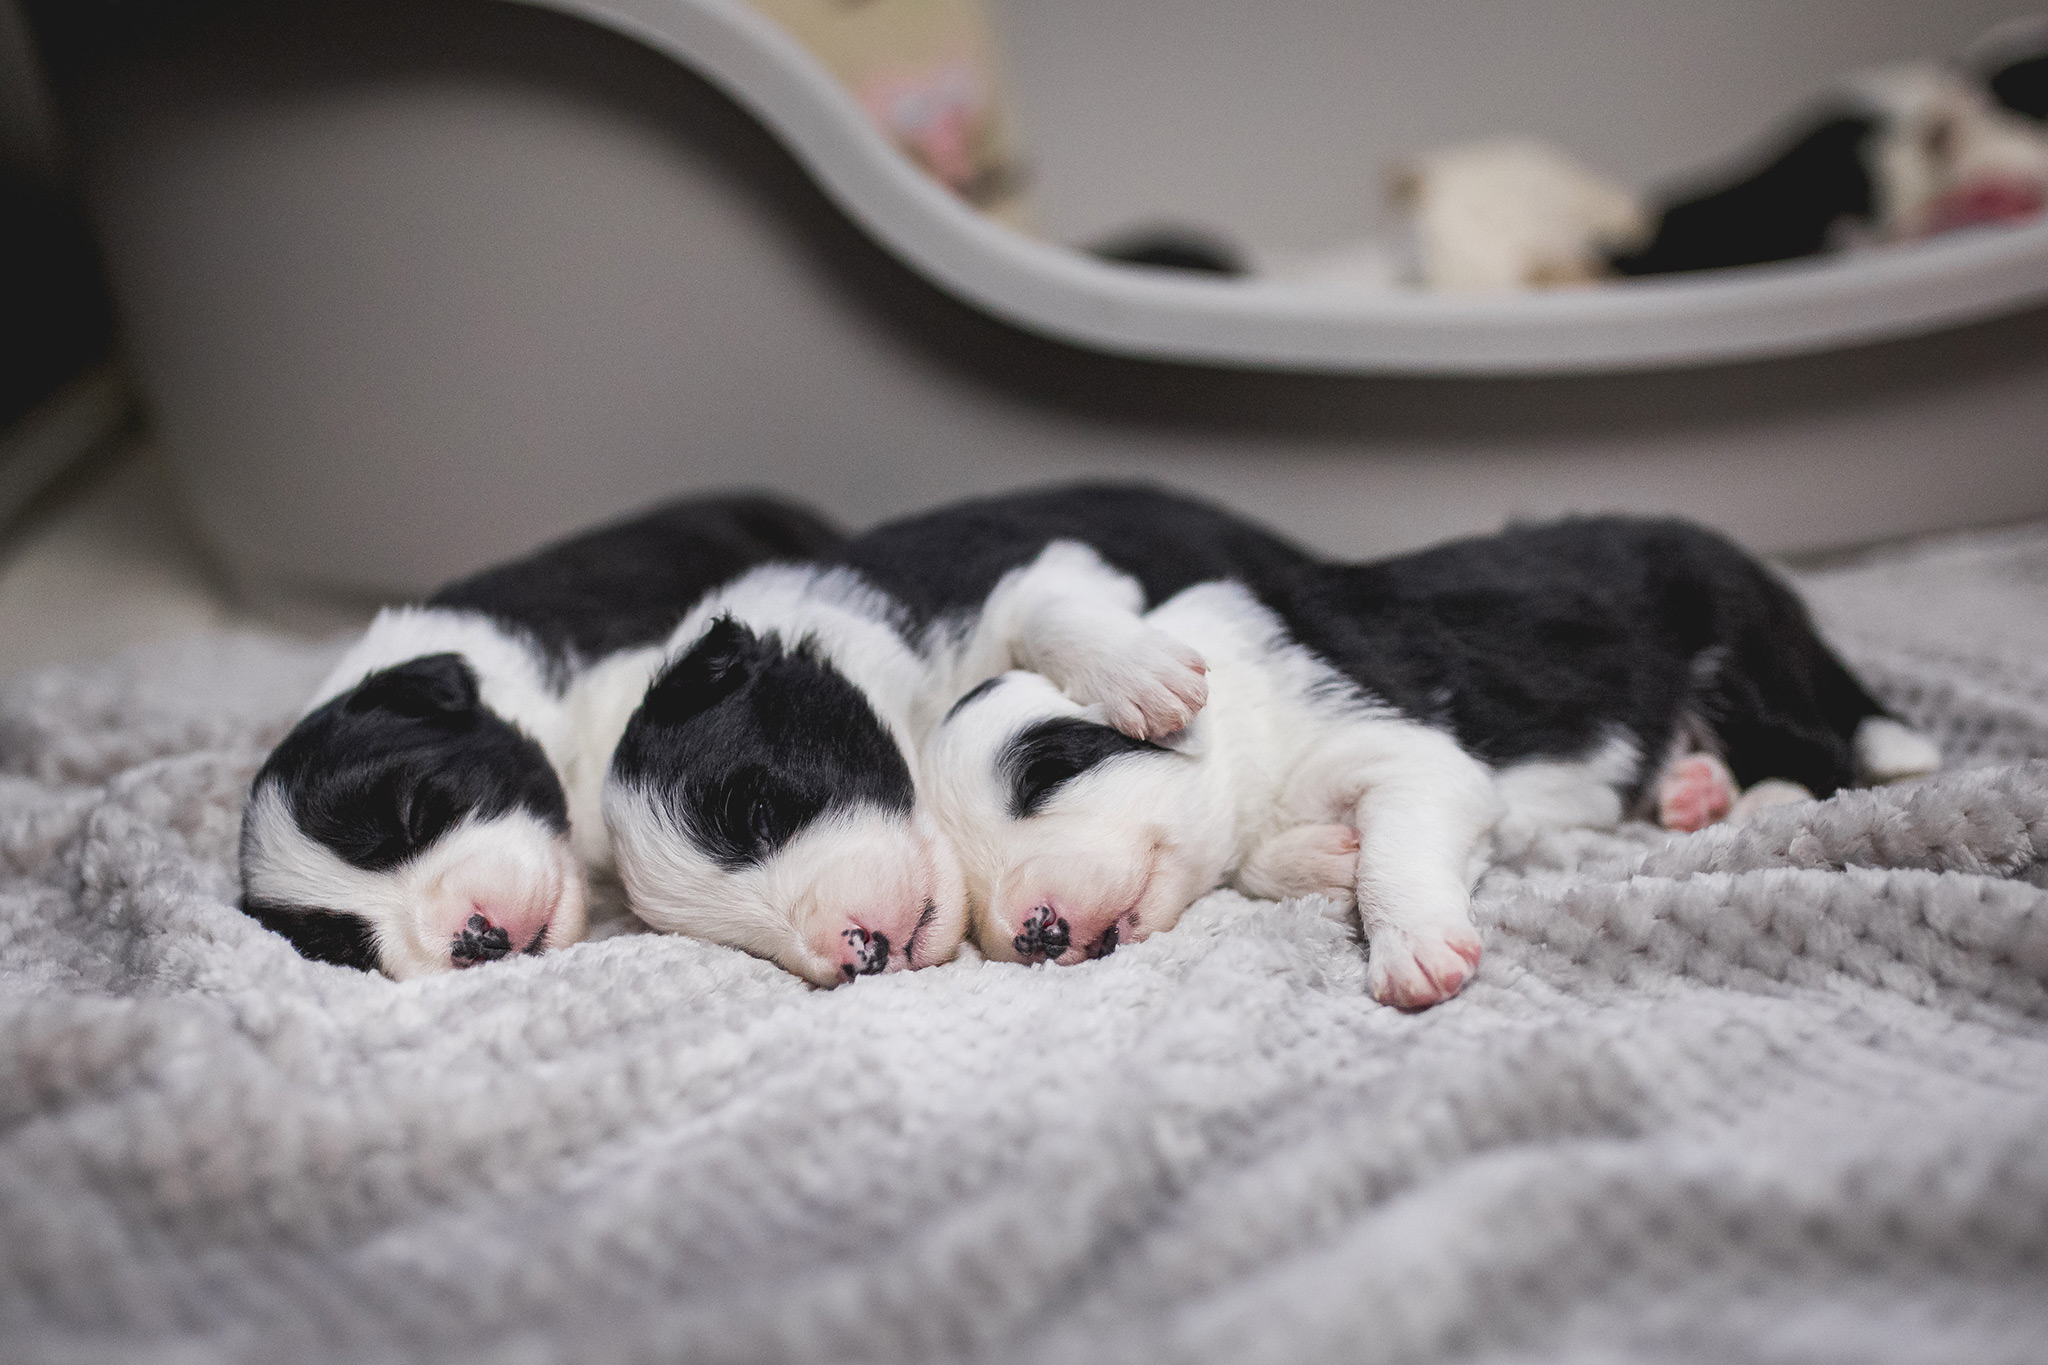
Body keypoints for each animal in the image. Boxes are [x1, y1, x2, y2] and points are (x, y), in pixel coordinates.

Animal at [598, 485, 1318, 986]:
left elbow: (1040, 604)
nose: (859, 957)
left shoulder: (1039, 568)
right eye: (735, 943)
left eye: (757, 813)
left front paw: (1140, 675)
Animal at [921, 517, 1941, 1010]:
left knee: (1827, 743)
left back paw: (1766, 794)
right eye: (965, 890)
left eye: (1045, 775)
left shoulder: (1417, 754)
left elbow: (1398, 845)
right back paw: (1694, 789)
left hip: (1742, 654)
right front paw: (1323, 857)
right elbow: (1275, 858)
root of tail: (1765, 575)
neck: (1249, 718)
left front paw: (1413, 947)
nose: (1032, 933)